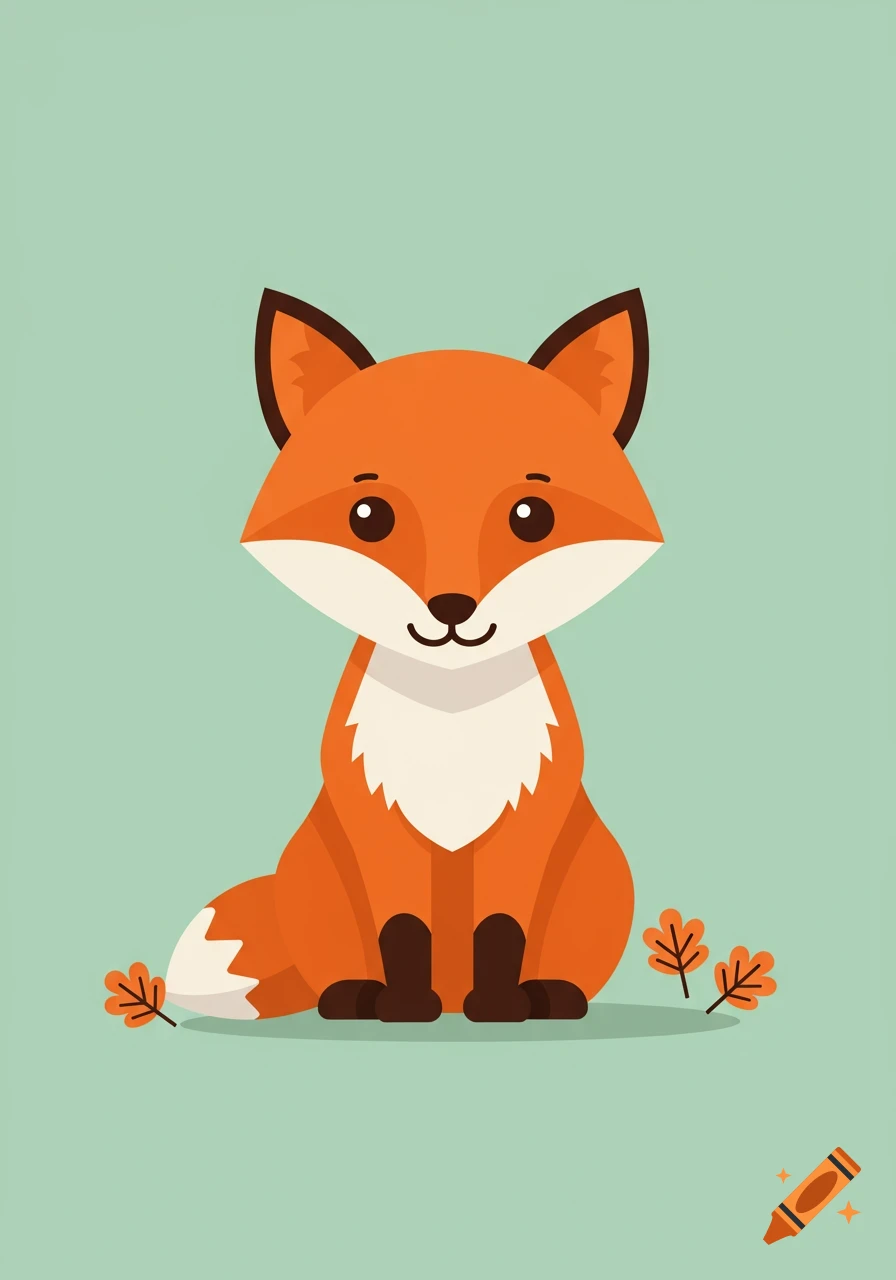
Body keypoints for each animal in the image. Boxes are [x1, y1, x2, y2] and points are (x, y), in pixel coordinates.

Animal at [165, 286, 663, 1022]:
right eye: (368, 517)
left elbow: (501, 929)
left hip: (600, 871)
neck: (449, 724)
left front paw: (501, 1004)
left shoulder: (524, 824)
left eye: (532, 518)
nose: (452, 609)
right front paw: (400, 1004)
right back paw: (352, 995)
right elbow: (402, 929)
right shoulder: (380, 826)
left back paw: (548, 995)